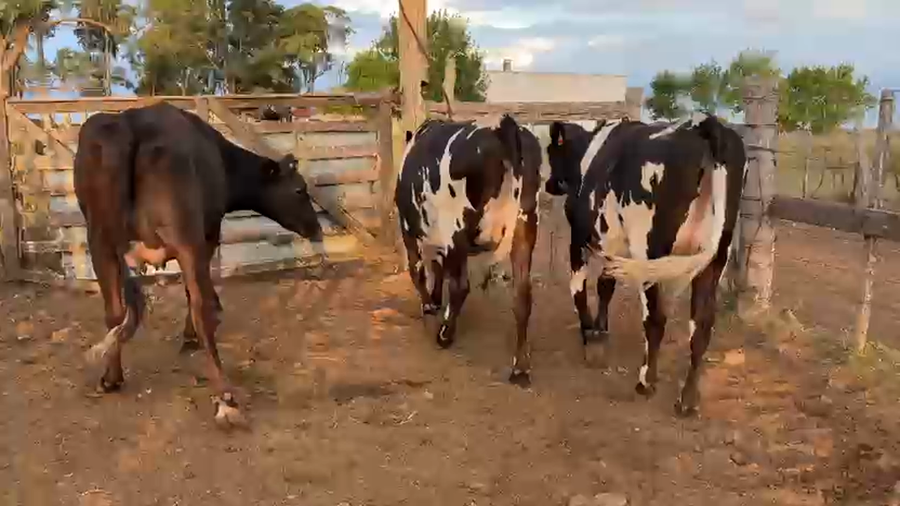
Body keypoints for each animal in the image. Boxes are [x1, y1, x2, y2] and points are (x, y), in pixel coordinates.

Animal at [74, 102, 323, 429]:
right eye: (299, 190)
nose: (316, 228)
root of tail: (128, 123)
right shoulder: (209, 233)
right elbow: (197, 295)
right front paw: (196, 330)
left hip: (99, 240)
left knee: (114, 311)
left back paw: (111, 378)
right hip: (185, 235)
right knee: (200, 308)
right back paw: (226, 398)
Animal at [395, 115, 543, 385]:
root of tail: (501, 125)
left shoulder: (409, 228)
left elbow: (418, 270)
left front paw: (429, 307)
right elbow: (437, 269)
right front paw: (434, 301)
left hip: (456, 229)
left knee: (460, 286)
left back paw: (444, 334)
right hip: (525, 226)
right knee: (522, 296)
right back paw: (520, 368)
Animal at [543, 113, 746, 416]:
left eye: (551, 152)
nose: (549, 184)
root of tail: (705, 124)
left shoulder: (580, 235)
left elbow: (578, 287)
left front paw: (590, 335)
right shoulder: (612, 243)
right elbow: (605, 285)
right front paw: (600, 331)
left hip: (650, 251)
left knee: (656, 318)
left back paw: (645, 381)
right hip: (716, 255)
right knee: (701, 325)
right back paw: (687, 399)